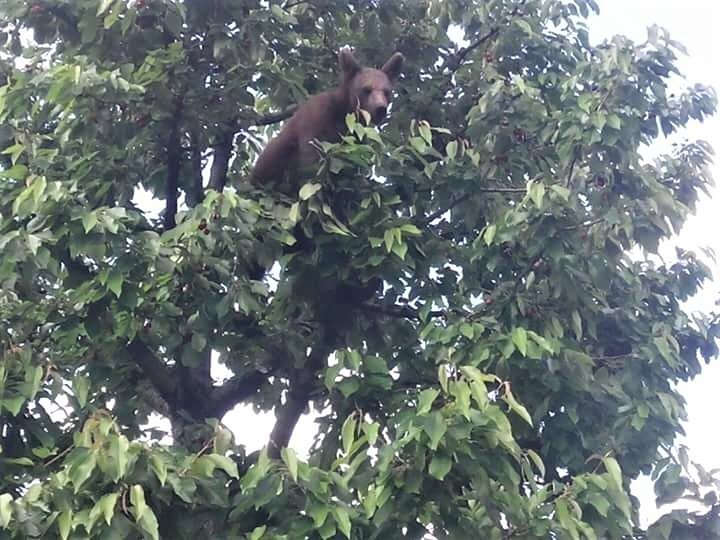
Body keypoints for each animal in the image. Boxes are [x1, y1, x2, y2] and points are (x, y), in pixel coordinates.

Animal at [250, 47, 402, 193]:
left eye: (386, 91)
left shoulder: (357, 137)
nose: (380, 108)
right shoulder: (316, 120)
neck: (344, 112)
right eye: (367, 89)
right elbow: (311, 164)